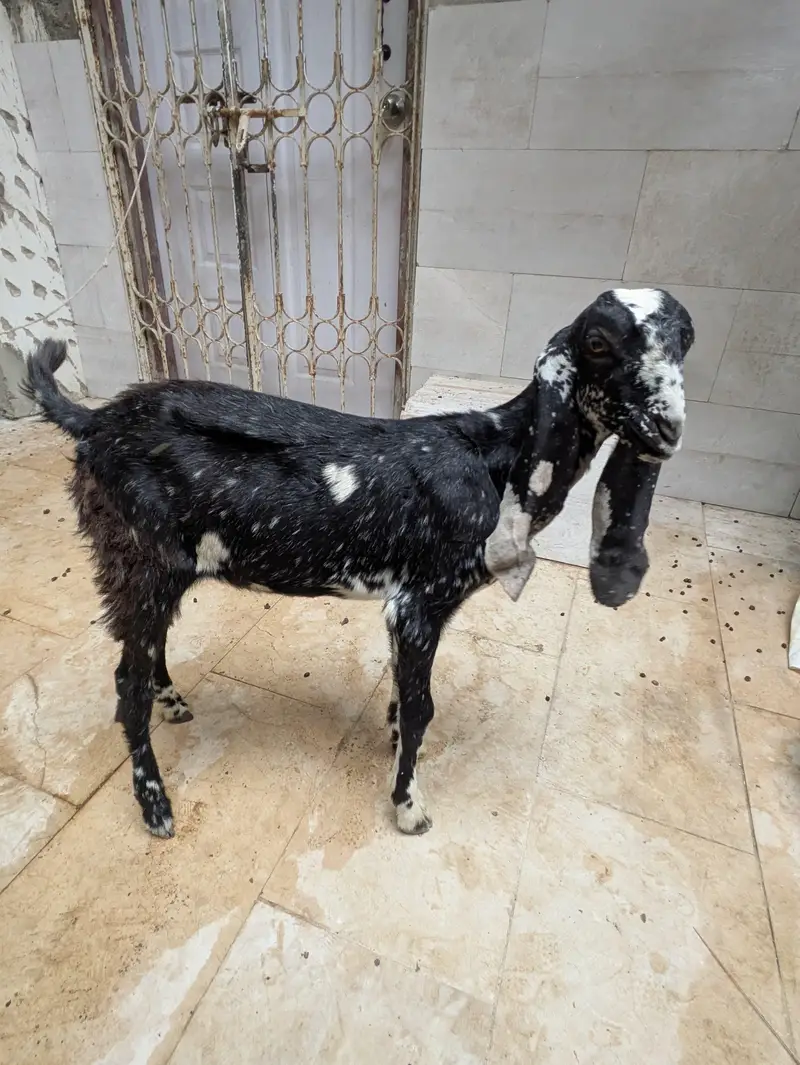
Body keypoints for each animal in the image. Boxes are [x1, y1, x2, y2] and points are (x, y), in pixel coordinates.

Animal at [23, 288, 694, 840]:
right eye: (598, 343)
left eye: (686, 340)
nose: (666, 429)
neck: (494, 457)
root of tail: (93, 421)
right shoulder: (421, 601)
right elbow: (423, 708)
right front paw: (409, 806)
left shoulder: (411, 607)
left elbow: (403, 693)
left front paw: (393, 740)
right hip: (139, 556)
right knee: (124, 682)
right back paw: (155, 804)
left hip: (152, 569)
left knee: (149, 645)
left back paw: (172, 701)